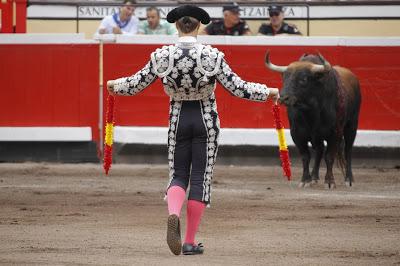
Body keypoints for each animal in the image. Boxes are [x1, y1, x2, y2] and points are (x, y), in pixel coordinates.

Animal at [266, 52, 362, 188]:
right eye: (284, 78)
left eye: (303, 79)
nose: (283, 98)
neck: (310, 110)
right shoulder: (297, 134)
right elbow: (305, 156)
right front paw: (305, 180)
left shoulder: (335, 133)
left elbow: (329, 157)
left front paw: (330, 182)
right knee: (320, 150)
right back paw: (314, 177)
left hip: (352, 125)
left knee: (348, 151)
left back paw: (349, 179)